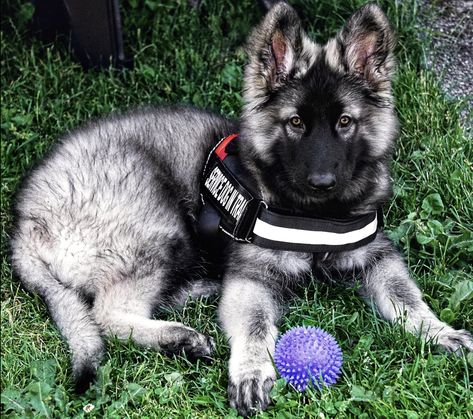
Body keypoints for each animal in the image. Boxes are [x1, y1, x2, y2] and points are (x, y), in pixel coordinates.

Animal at [9, 2, 470, 416]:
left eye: (345, 122)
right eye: (295, 123)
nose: (323, 182)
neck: (313, 214)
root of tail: (25, 222)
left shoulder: (376, 255)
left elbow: (407, 298)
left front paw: (439, 332)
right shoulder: (252, 275)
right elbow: (255, 325)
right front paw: (251, 370)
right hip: (159, 227)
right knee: (107, 314)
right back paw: (180, 336)